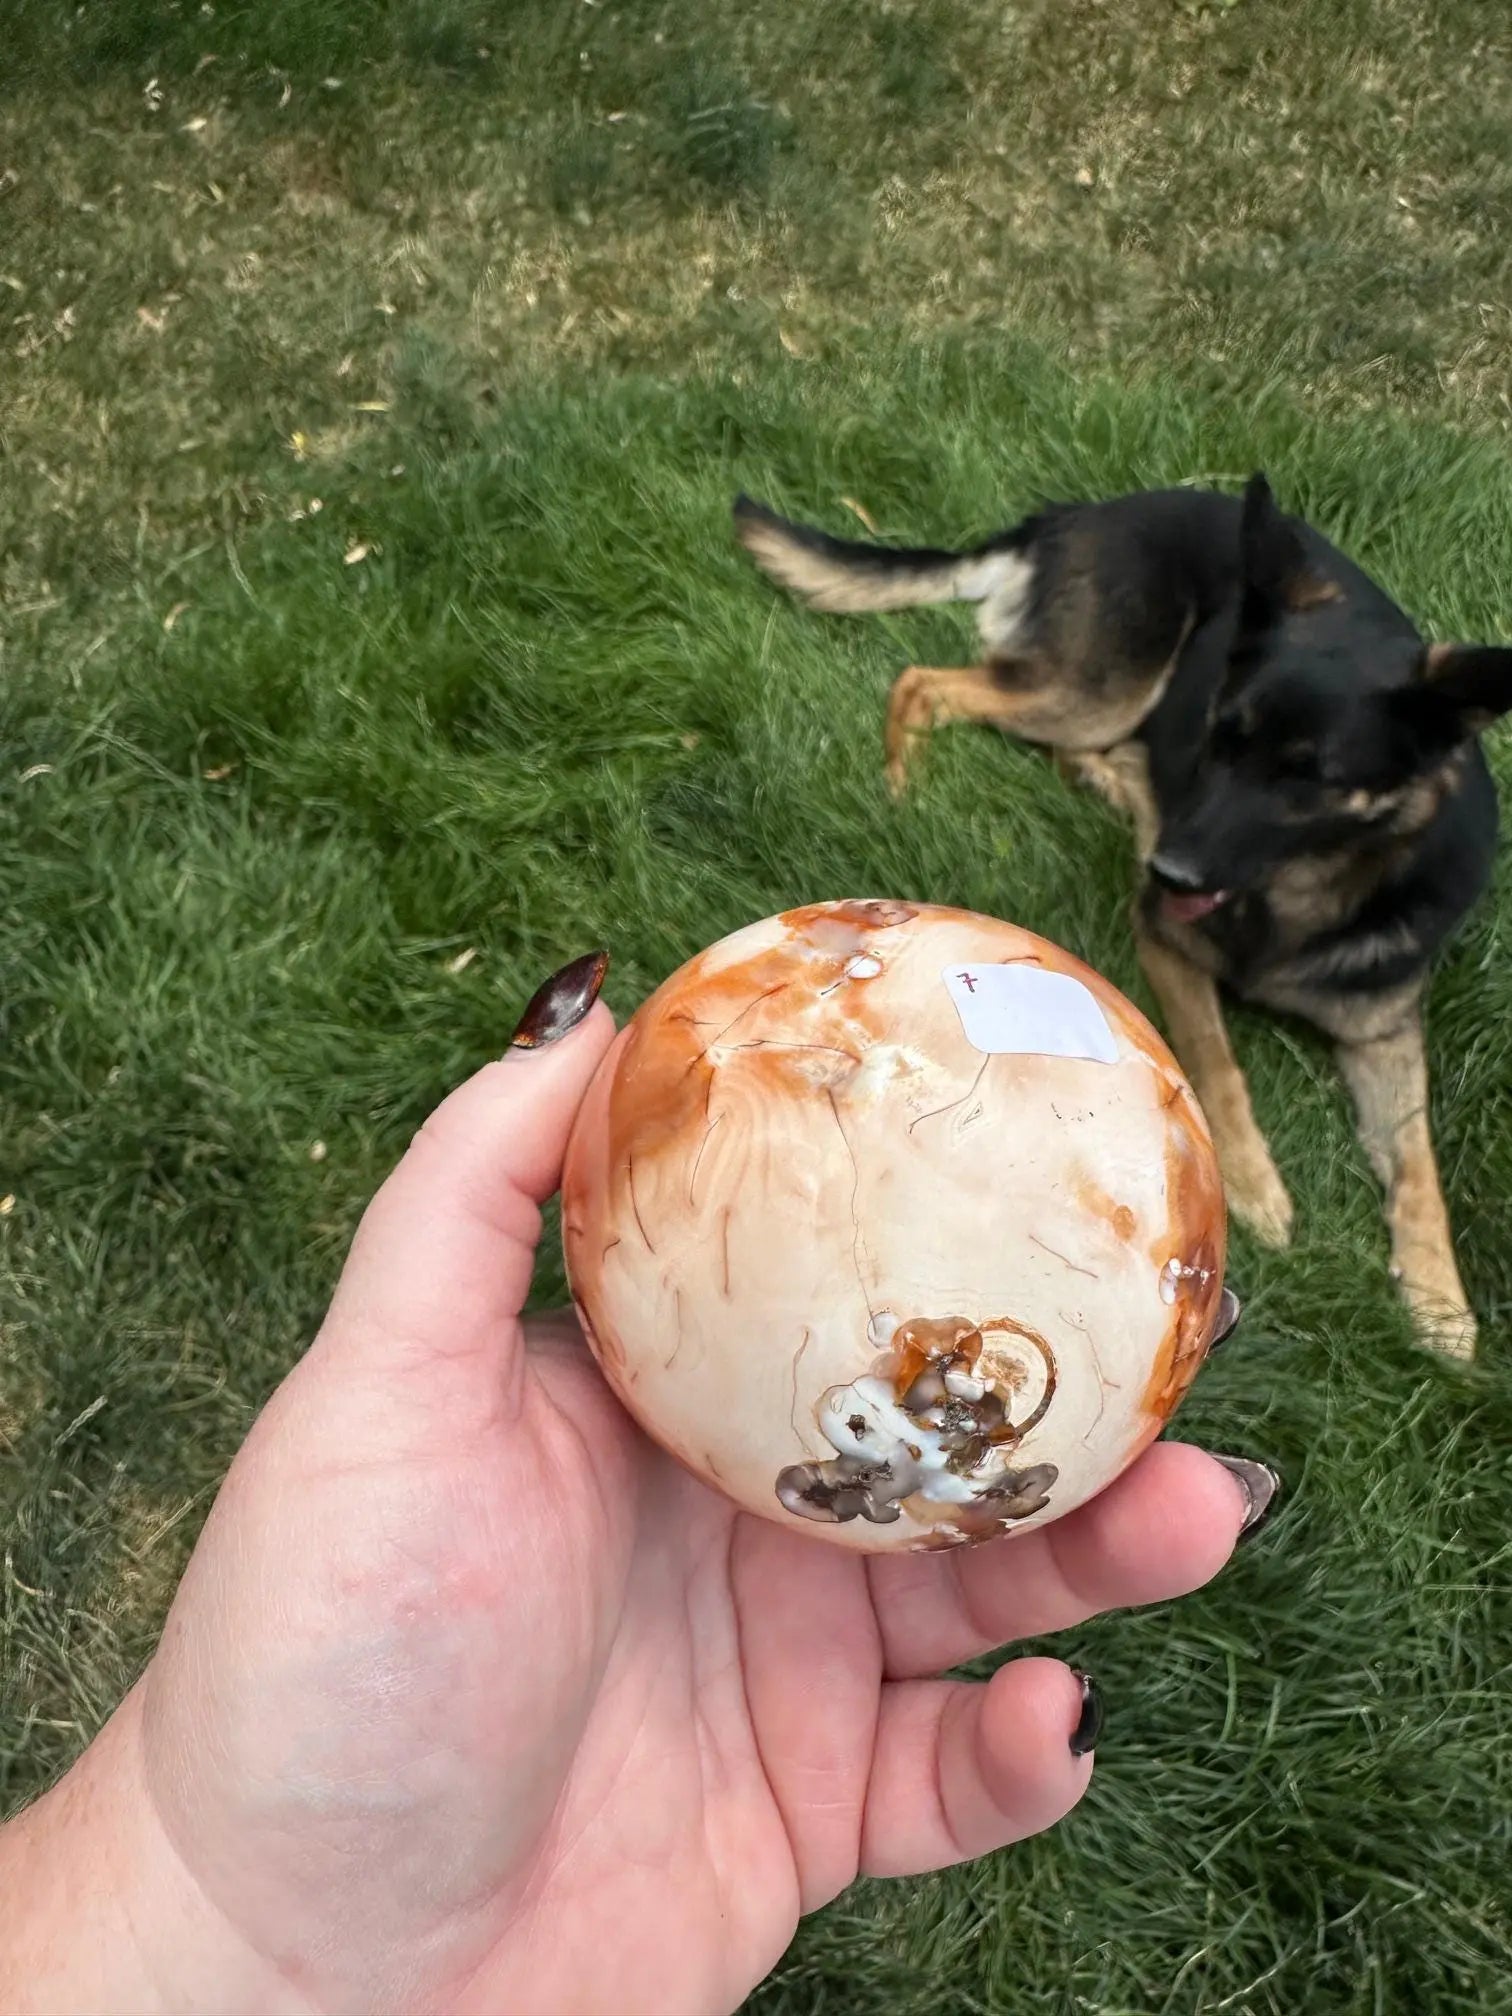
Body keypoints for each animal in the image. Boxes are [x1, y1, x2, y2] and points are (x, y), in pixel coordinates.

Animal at [733, 469, 1512, 1354]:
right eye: (1219, 736)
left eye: (1306, 777)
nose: (1168, 872)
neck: (1300, 893)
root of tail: (1072, 514)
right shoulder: (1166, 943)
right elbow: (1217, 1063)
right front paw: (1255, 1186)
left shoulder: (1384, 1031)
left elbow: (1419, 1165)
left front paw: (1441, 1300)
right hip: (1100, 689)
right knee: (925, 682)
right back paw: (906, 786)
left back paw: (1119, 789)